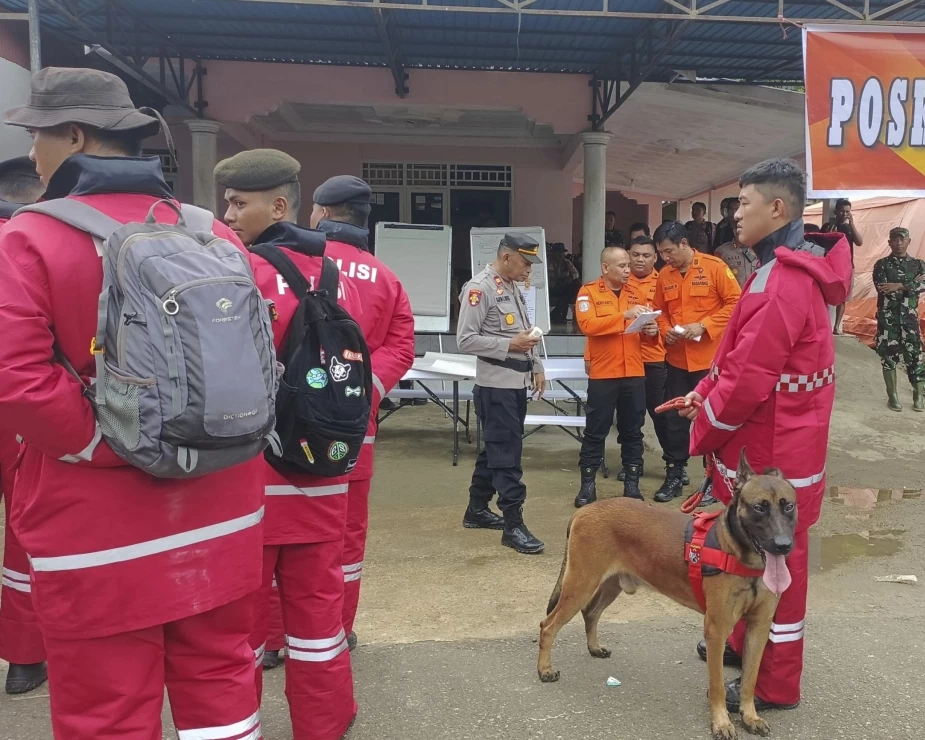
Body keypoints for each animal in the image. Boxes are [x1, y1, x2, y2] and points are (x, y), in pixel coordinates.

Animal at [536, 450, 796, 740]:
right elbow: (717, 684)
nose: (783, 545)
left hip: (610, 585)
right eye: (759, 507)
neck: (741, 555)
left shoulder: (758, 628)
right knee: (548, 625)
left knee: (590, 612)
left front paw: (750, 716)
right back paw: (544, 669)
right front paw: (721, 722)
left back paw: (594, 647)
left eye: (788, 506)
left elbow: (750, 679)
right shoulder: (716, 629)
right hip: (580, 586)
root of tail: (584, 511)